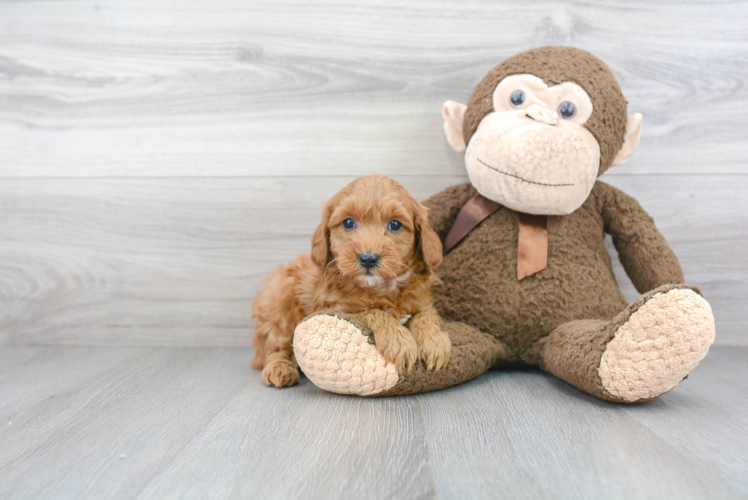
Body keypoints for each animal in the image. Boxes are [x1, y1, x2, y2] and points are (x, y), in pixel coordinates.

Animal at [251, 175, 450, 386]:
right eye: (348, 222)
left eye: (395, 225)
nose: (368, 258)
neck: (382, 287)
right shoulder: (335, 307)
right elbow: (373, 311)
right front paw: (399, 340)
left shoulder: (423, 302)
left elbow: (426, 316)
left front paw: (434, 341)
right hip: (283, 303)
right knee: (276, 347)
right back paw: (279, 369)